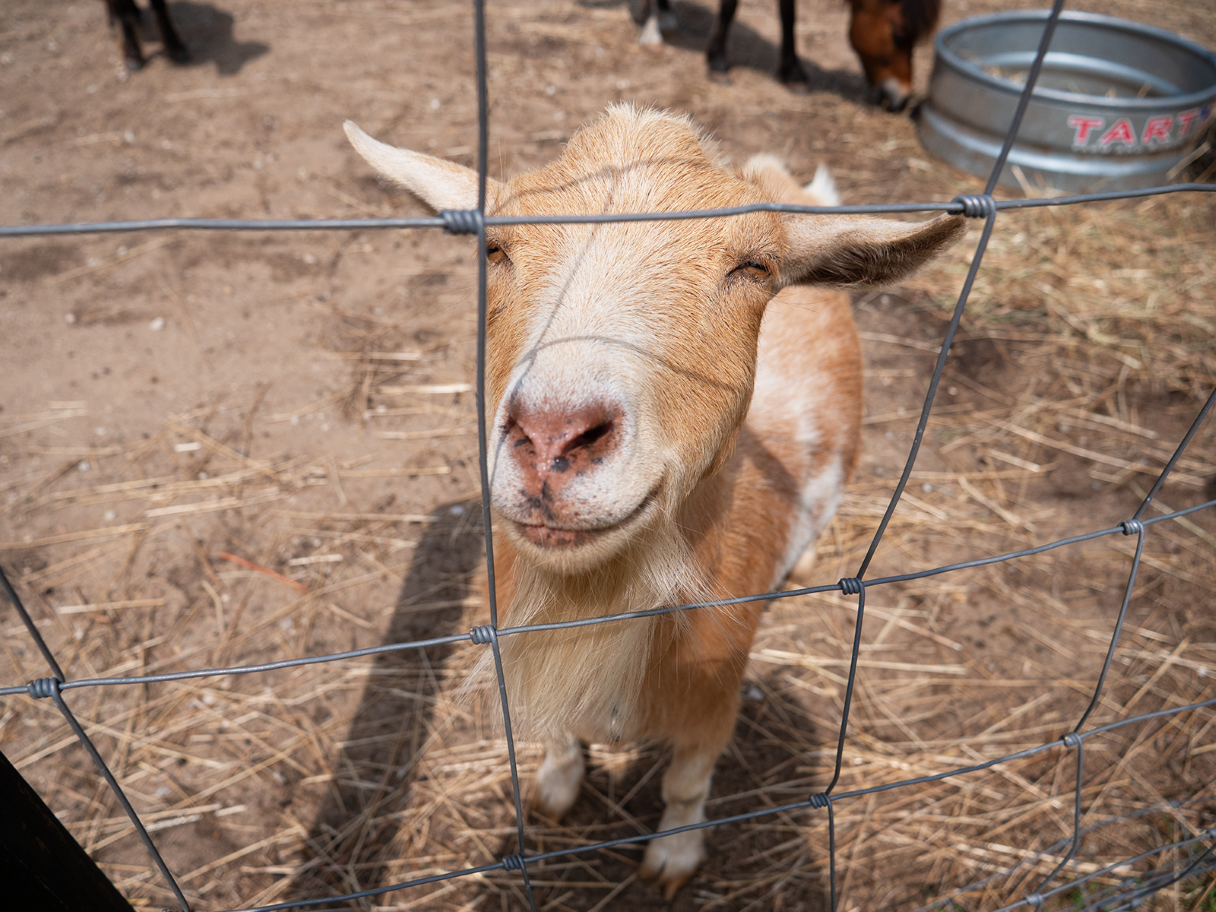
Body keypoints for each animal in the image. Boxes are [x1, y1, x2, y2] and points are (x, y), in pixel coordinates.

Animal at [345, 108, 958, 899]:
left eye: (754, 267)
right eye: (495, 247)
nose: (551, 437)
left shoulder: (716, 694)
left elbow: (687, 786)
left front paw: (672, 860)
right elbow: (559, 742)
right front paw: (554, 793)